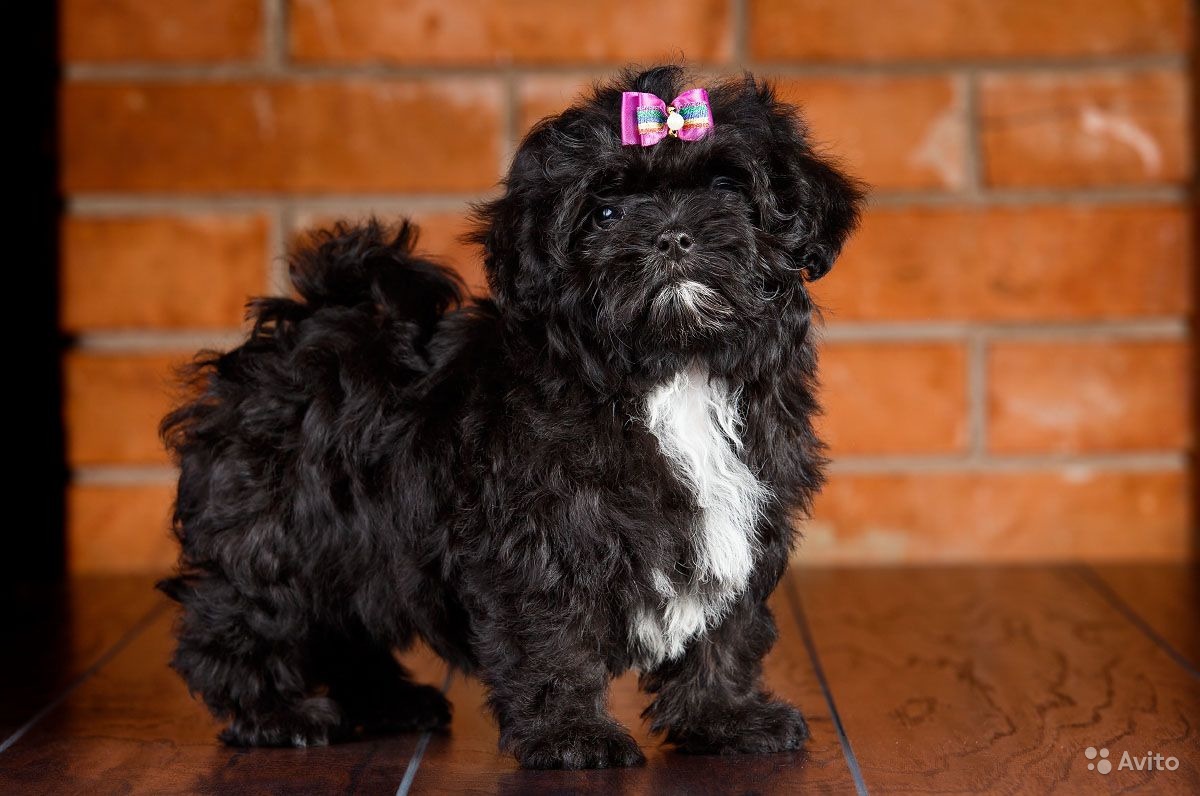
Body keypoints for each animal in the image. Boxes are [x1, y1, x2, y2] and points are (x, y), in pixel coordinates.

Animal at [159, 64, 863, 770]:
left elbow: (726, 625)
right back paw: (275, 714)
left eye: (726, 189)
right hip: (277, 528)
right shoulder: (541, 533)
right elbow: (551, 633)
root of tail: (300, 324)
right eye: (605, 213)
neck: (673, 367)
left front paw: (726, 717)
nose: (670, 236)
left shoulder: (740, 516)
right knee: (245, 618)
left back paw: (391, 705)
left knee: (349, 624)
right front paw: (571, 737)